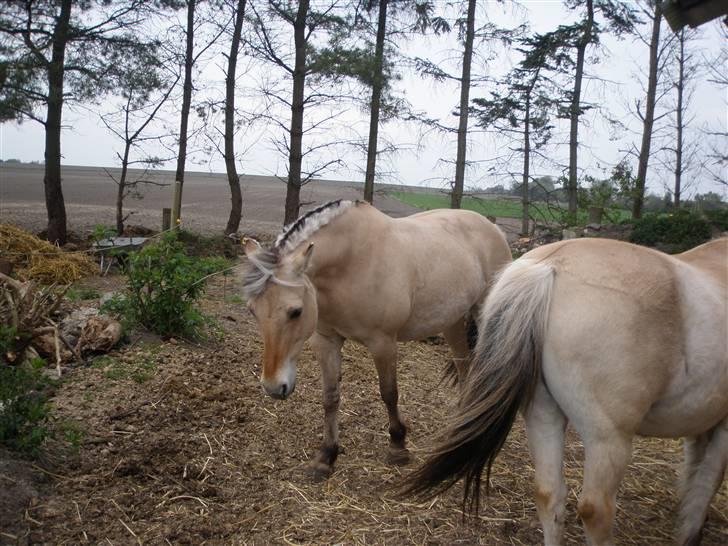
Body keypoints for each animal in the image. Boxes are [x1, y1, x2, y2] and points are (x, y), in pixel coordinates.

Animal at [242, 200, 510, 476]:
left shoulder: (383, 343)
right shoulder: (326, 340)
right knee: (465, 368)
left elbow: (389, 393)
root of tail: (493, 228)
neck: (353, 263)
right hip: (452, 321)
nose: (273, 387)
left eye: (296, 311)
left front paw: (397, 446)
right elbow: (330, 396)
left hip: (485, 314)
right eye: (252, 310)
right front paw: (326, 455)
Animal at [404, 238, 728, 544]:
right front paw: (690, 531)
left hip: (542, 415)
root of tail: (549, 268)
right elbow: (707, 481)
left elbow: (695, 467)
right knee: (595, 510)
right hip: (607, 438)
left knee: (548, 495)